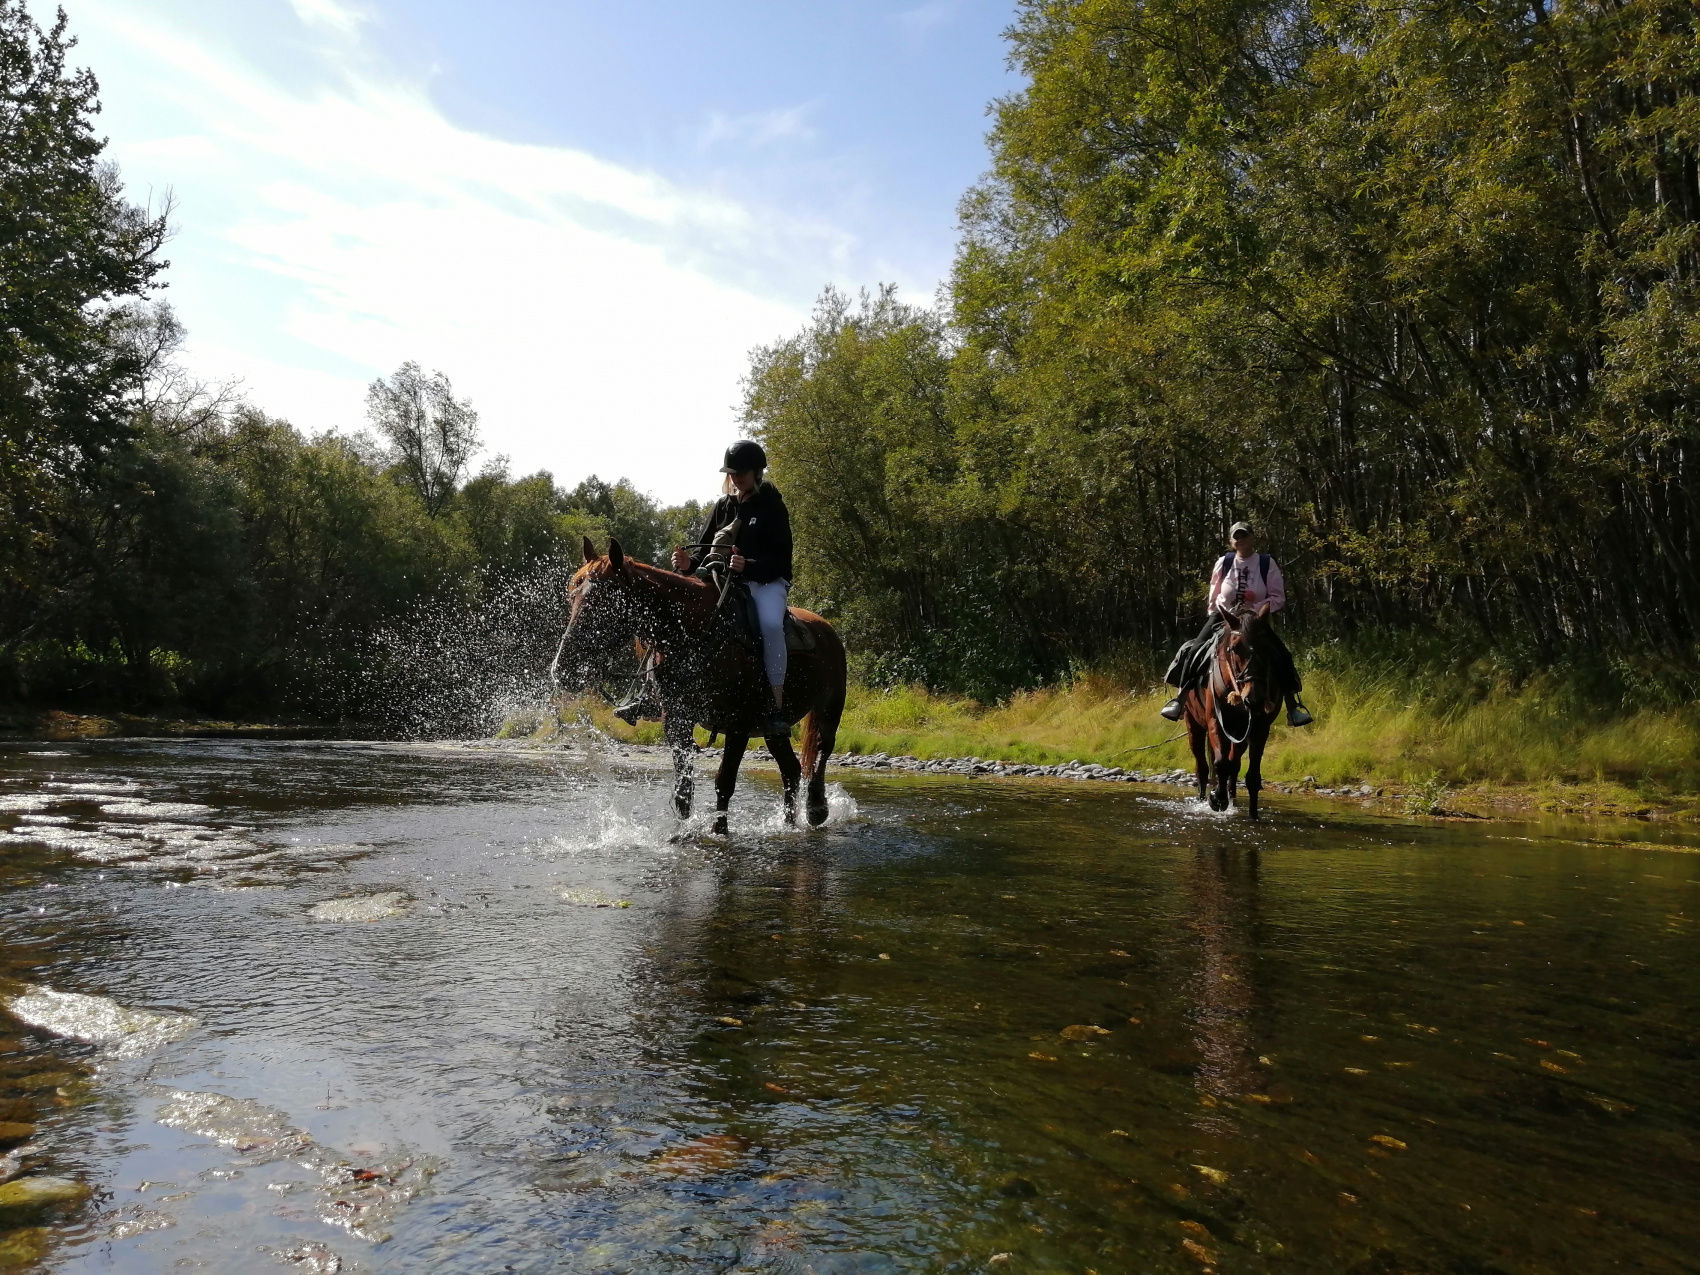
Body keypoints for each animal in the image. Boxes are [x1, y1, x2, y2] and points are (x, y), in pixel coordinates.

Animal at [547, 537, 846, 829]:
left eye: (606, 602)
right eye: (572, 596)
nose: (562, 669)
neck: (694, 633)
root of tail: (827, 629)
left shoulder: (738, 725)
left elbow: (724, 782)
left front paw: (719, 832)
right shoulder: (677, 720)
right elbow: (683, 793)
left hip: (828, 711)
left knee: (821, 752)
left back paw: (816, 810)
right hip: (772, 729)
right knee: (791, 770)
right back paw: (789, 824)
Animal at [1190, 605, 1278, 822]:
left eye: (1267, 647)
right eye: (1235, 647)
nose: (1254, 698)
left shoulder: (1259, 729)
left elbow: (1252, 776)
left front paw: (1253, 815)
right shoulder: (1215, 720)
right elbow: (1220, 763)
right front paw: (1217, 800)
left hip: (1239, 735)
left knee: (1234, 763)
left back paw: (1232, 798)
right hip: (1193, 724)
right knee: (1202, 767)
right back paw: (1204, 798)